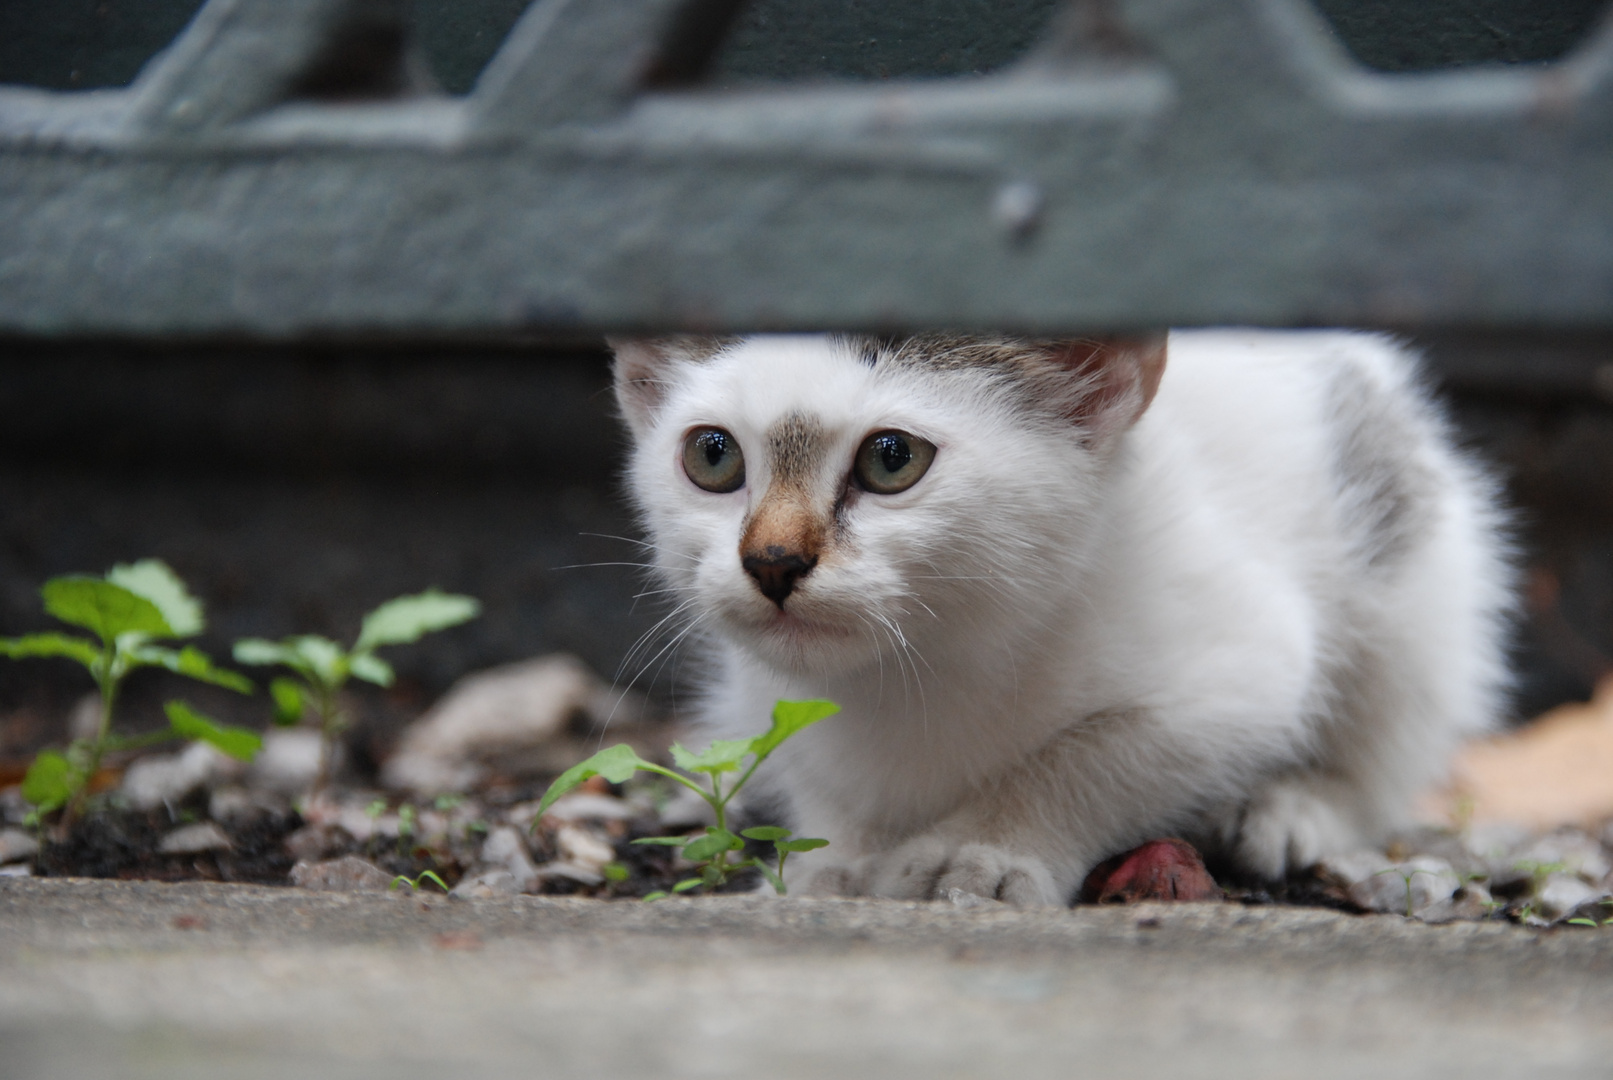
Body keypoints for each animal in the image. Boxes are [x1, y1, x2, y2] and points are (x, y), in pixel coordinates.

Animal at [609, 333, 1516, 909]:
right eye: (712, 456)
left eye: (891, 459)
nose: (771, 562)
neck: (928, 660)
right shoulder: (767, 692)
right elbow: (814, 764)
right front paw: (838, 857)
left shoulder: (1239, 666)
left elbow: (1096, 755)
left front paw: (977, 851)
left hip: (1410, 584)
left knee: (1390, 742)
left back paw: (1295, 809)